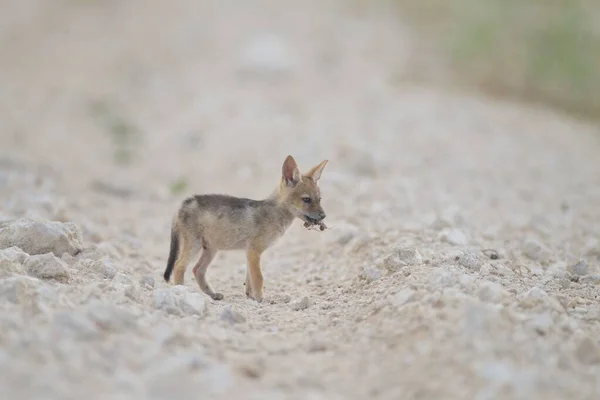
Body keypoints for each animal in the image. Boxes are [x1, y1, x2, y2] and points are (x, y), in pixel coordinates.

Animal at [162, 155, 328, 302]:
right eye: (307, 200)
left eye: (319, 199)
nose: (323, 215)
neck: (273, 213)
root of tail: (183, 204)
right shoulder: (254, 251)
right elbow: (259, 279)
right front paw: (261, 300)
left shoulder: (249, 252)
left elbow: (250, 281)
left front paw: (252, 297)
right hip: (195, 247)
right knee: (179, 266)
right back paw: (182, 291)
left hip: (210, 250)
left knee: (197, 270)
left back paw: (212, 294)